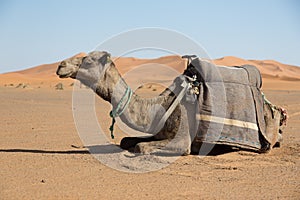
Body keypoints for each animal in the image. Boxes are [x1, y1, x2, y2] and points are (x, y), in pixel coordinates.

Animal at [56, 50, 286, 155]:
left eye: (89, 60)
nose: (61, 65)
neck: (158, 107)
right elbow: (127, 141)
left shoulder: (182, 141)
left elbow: (140, 147)